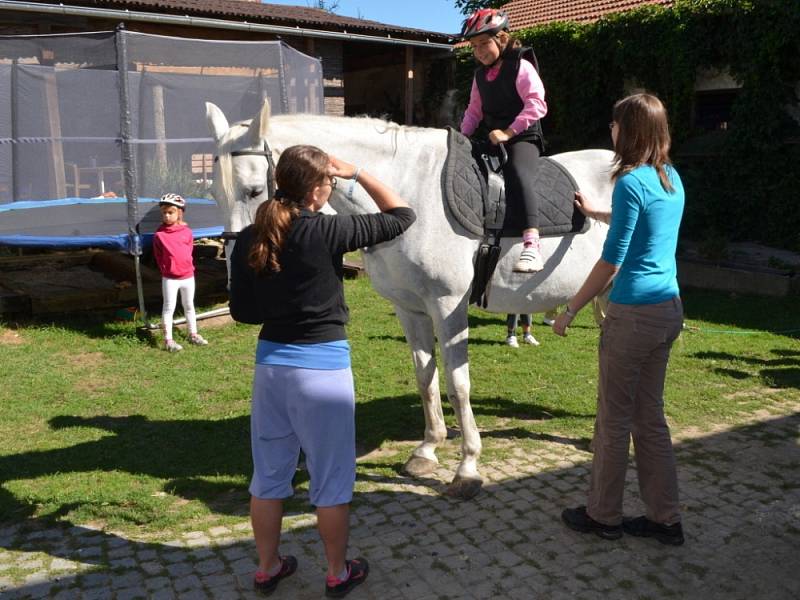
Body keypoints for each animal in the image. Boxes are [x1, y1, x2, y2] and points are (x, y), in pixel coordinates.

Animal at [206, 101, 612, 500]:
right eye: (213, 195)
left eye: (254, 190)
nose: (240, 284)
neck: (410, 189)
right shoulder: (410, 309)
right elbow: (425, 377)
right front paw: (427, 450)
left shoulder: (448, 307)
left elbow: (458, 385)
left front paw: (467, 468)